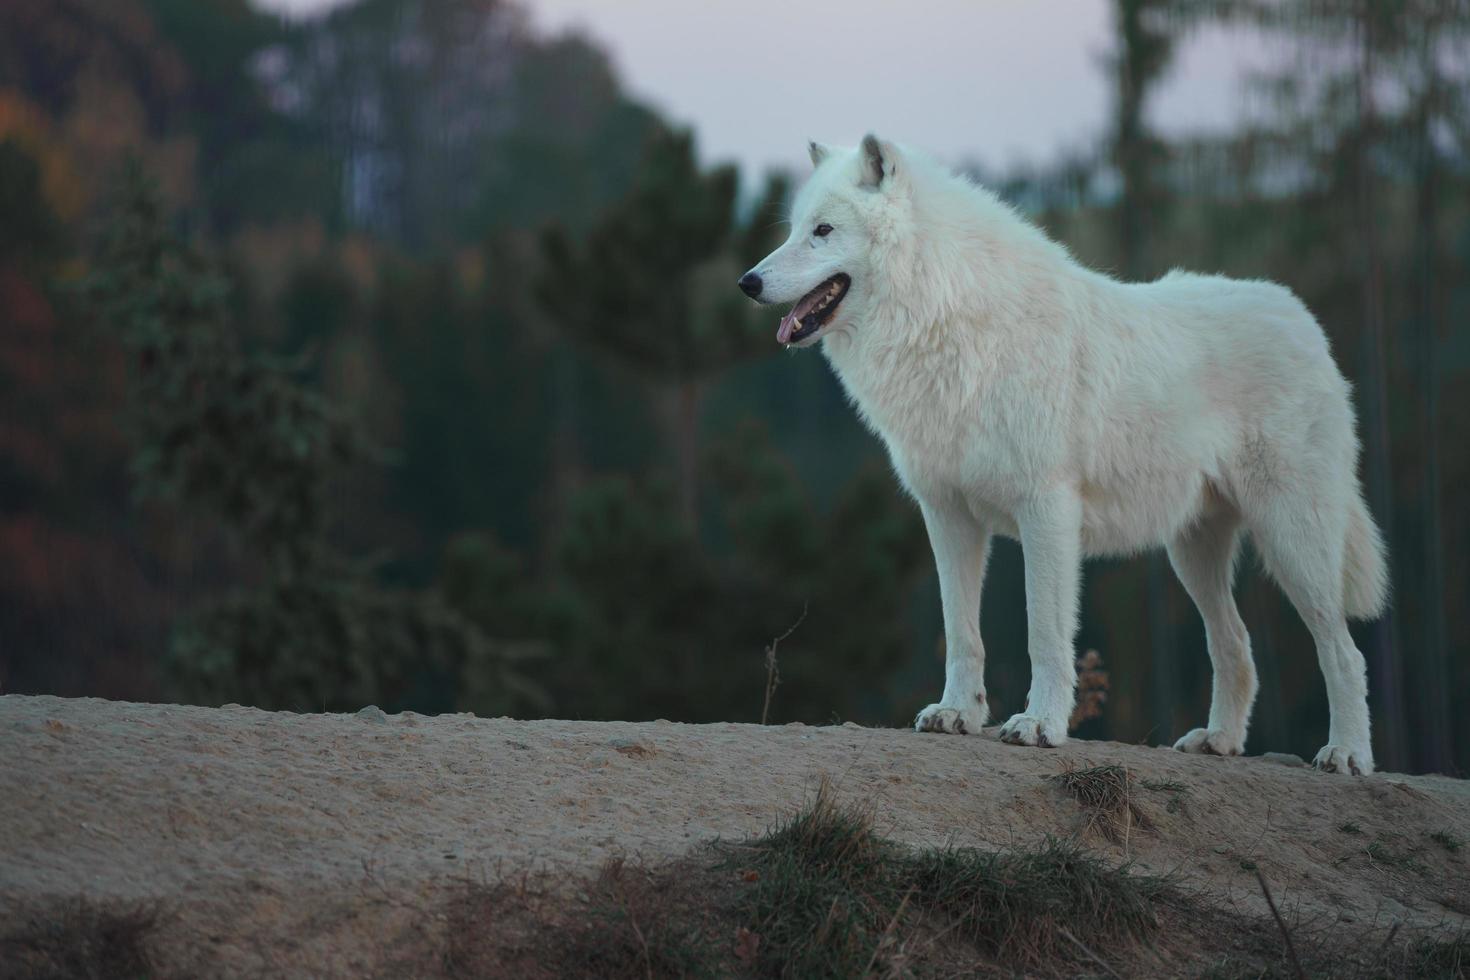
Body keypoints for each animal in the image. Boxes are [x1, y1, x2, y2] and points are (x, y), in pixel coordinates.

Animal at [740, 135, 1381, 775]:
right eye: (793, 228)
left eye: (823, 230)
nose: (748, 282)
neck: (950, 317)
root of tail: (1302, 317)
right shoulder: (947, 516)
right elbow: (962, 632)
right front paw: (958, 714)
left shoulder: (1046, 510)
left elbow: (1044, 634)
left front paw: (1040, 724)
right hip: (1192, 552)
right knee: (1237, 645)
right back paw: (1218, 740)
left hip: (1292, 540)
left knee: (1344, 652)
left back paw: (1347, 754)